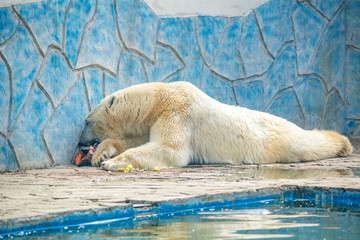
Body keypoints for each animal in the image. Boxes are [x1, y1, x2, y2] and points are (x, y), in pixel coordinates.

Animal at [78, 81, 352, 171]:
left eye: (87, 121)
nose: (80, 142)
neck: (159, 97)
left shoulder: (178, 112)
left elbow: (169, 149)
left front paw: (113, 163)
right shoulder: (154, 119)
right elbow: (138, 140)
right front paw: (101, 154)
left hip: (277, 139)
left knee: (305, 144)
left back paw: (343, 144)